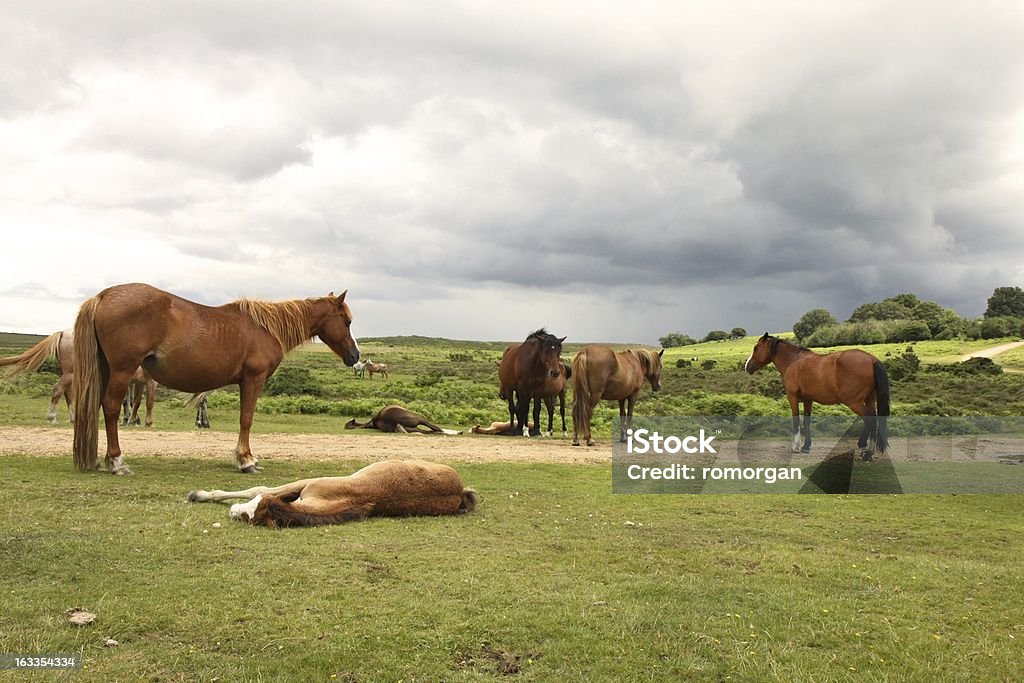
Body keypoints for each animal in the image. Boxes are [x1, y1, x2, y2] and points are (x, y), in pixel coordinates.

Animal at [73, 282, 360, 475]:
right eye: (346, 321)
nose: (355, 355)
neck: (266, 328)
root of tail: (103, 296)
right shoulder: (253, 379)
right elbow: (246, 419)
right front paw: (246, 460)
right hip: (122, 370)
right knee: (110, 408)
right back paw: (117, 462)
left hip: (107, 370)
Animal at [745, 331, 888, 458]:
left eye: (756, 348)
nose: (747, 366)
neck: (793, 361)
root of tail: (872, 359)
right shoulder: (808, 400)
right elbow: (806, 422)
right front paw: (806, 446)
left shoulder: (792, 397)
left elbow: (796, 420)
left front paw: (796, 446)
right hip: (870, 399)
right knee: (873, 419)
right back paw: (868, 450)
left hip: (854, 402)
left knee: (870, 419)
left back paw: (866, 450)